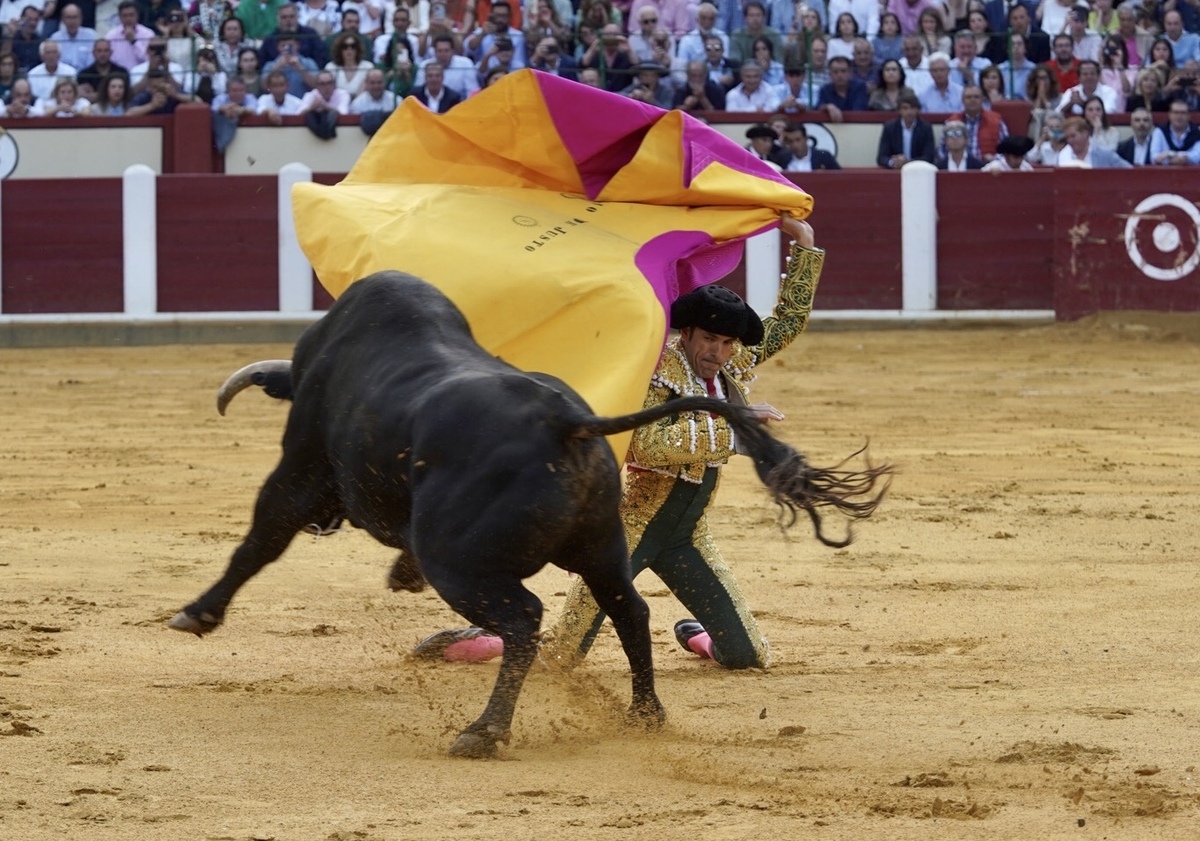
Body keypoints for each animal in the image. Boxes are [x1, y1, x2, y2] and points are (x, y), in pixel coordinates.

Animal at [174, 272, 897, 758]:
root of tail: (565, 422)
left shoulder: (298, 467)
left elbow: (260, 537)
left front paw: (197, 613)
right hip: (603, 545)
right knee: (626, 609)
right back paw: (644, 711)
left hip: (460, 560)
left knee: (523, 619)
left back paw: (484, 730)